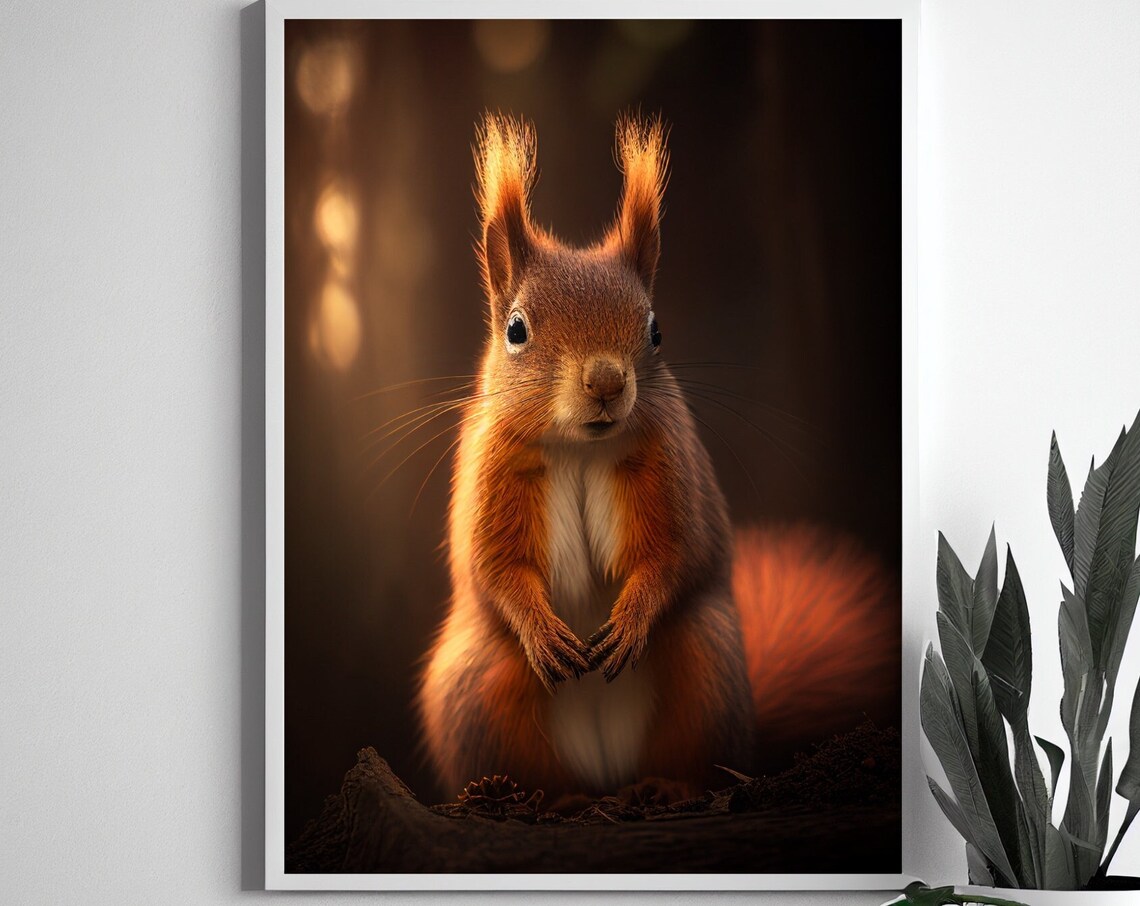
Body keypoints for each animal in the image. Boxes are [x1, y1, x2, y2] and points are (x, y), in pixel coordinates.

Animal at [417, 113, 899, 804]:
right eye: (516, 330)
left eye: (655, 329)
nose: (606, 382)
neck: (580, 450)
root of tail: (605, 776)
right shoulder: (494, 470)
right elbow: (494, 566)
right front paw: (540, 629)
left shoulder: (669, 465)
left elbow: (674, 552)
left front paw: (632, 618)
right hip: (476, 691)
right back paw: (544, 798)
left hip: (705, 663)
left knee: (694, 756)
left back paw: (666, 790)